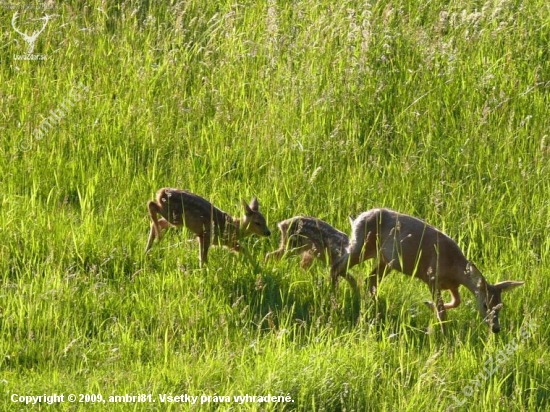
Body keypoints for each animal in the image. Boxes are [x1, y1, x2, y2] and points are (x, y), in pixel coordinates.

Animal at [332, 208, 528, 334]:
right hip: (361, 245)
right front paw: (445, 334)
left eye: (500, 305)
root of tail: (356, 218)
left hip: (386, 261)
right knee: (337, 266)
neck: (454, 266)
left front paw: (428, 305)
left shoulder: (452, 285)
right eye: (486, 304)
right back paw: (338, 298)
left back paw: (374, 307)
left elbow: (456, 302)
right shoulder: (431, 277)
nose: (496, 329)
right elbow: (442, 311)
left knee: (370, 279)